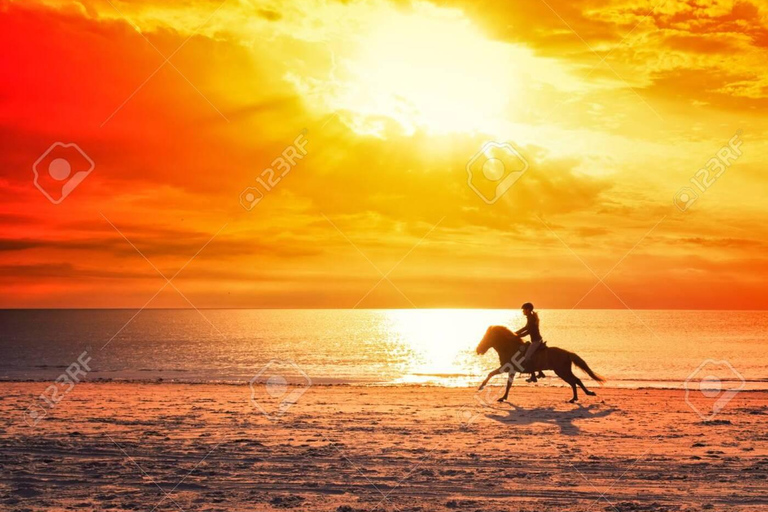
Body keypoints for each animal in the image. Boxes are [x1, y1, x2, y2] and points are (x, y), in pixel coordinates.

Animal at [474, 326, 608, 402]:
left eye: (487, 338)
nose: (478, 350)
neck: (510, 347)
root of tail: (567, 353)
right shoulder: (510, 370)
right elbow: (502, 380)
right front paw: (501, 396)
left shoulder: (508, 368)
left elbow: (497, 377)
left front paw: (486, 389)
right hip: (563, 371)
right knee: (575, 381)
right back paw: (577, 397)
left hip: (562, 371)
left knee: (575, 381)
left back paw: (579, 396)